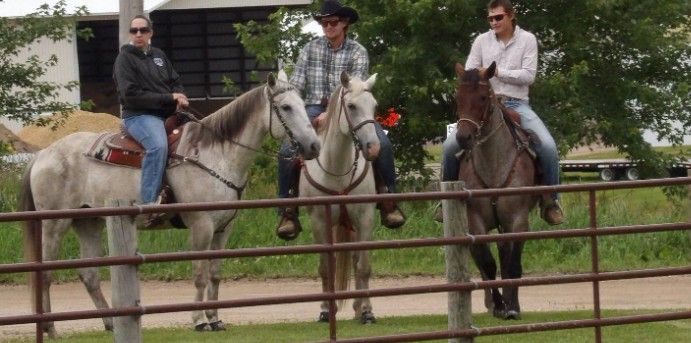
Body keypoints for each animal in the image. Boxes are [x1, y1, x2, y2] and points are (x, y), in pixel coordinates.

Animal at [20, 70, 320, 338]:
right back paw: (50, 328)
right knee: (44, 274)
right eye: (286, 107)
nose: (314, 146)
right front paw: (199, 322)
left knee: (90, 275)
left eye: (302, 104)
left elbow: (214, 274)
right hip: (54, 224)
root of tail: (43, 155)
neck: (216, 154)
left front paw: (215, 319)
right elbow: (199, 274)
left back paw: (110, 323)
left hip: (88, 223)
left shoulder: (223, 229)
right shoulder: (201, 226)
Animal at [300, 72, 382, 326]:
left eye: (374, 105)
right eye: (352, 106)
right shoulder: (319, 221)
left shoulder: (365, 218)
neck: (337, 169)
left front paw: (367, 311)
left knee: (355, 260)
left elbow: (364, 266)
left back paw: (358, 306)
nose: (373, 148)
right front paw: (327, 310)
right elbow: (326, 267)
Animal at [454, 61, 540, 320]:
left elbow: (512, 265)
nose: (463, 137)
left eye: (483, 97)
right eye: (458, 97)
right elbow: (487, 263)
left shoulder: (518, 221)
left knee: (506, 256)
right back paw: (491, 303)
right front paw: (499, 305)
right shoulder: (476, 221)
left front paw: (512, 307)